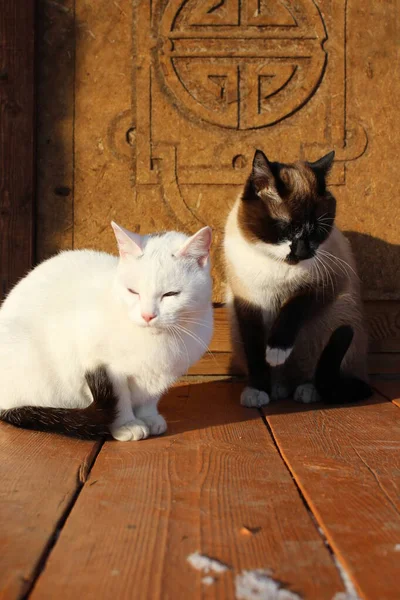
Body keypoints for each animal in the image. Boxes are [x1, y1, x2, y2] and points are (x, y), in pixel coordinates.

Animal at [0, 223, 212, 438]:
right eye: (133, 291)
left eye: (170, 294)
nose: (147, 315)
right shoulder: (104, 366)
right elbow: (120, 399)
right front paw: (126, 424)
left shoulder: (163, 373)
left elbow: (150, 398)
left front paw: (149, 417)